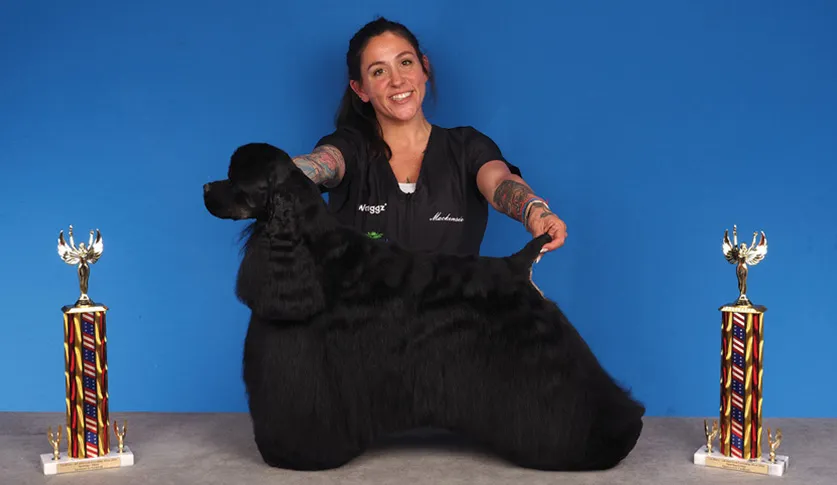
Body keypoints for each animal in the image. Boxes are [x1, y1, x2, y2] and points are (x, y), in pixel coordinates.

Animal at [204, 142, 648, 470]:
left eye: (237, 177)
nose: (206, 187)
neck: (309, 252)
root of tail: (518, 265)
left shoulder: (307, 369)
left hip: (542, 358)